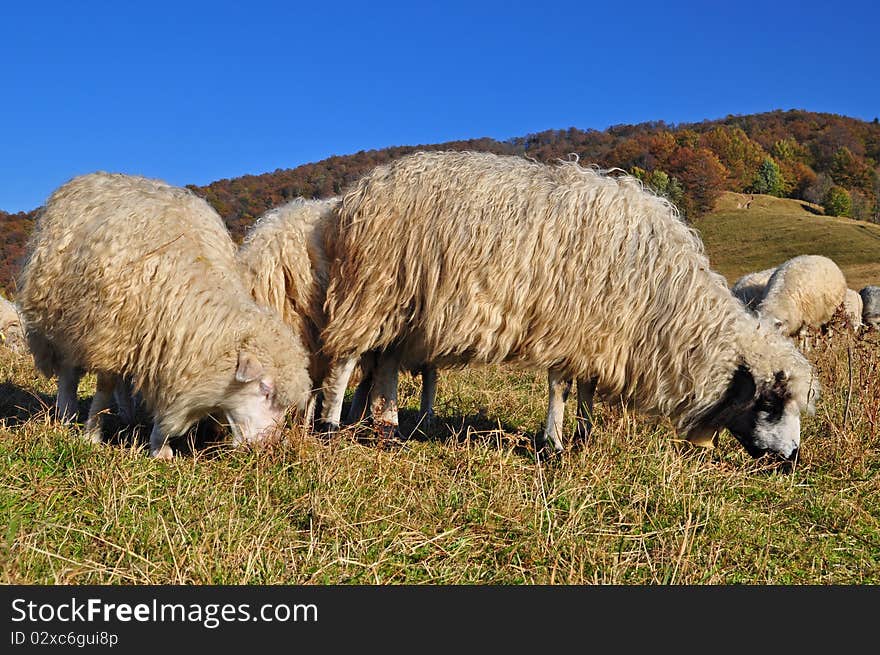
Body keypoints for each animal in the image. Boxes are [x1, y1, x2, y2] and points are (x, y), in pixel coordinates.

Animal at [16, 174, 312, 462]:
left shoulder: (167, 350)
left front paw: (160, 448)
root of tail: (92, 177)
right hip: (62, 320)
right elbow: (102, 392)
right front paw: (92, 437)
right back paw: (67, 416)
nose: (269, 446)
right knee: (68, 373)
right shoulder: (108, 338)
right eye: (264, 388)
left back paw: (127, 415)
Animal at [316, 152, 820, 462]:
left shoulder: (597, 335)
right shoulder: (568, 324)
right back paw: (331, 426)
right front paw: (554, 444)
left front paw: (585, 434)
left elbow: (587, 389)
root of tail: (361, 189)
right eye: (771, 401)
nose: (793, 459)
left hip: (402, 307)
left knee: (384, 365)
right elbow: (560, 386)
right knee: (346, 360)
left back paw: (387, 430)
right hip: (373, 288)